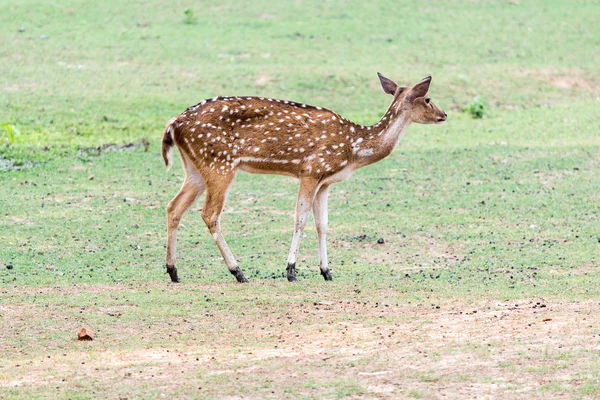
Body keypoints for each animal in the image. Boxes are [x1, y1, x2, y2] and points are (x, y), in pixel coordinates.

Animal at [163, 73, 446, 282]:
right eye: (428, 98)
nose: (444, 115)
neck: (353, 148)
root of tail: (173, 124)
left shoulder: (325, 183)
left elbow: (323, 225)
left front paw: (326, 272)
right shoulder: (311, 171)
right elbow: (300, 219)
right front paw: (291, 270)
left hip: (195, 169)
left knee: (173, 207)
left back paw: (173, 271)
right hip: (220, 164)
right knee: (209, 213)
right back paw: (238, 272)